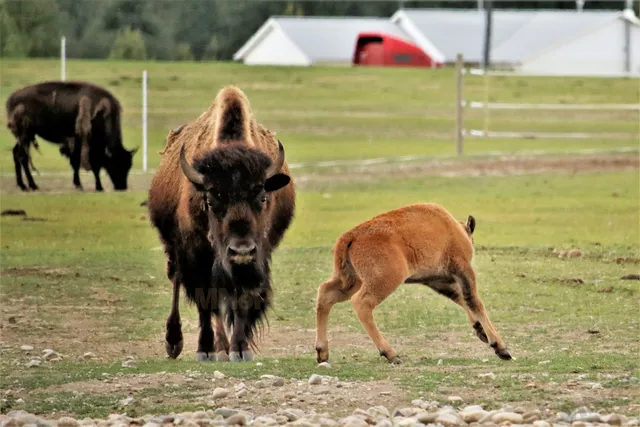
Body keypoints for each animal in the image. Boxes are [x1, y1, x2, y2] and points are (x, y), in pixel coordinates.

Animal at [5, 81, 137, 192]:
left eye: (129, 165)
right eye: (116, 163)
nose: (122, 187)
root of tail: (11, 99)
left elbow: (83, 164)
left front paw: (88, 185)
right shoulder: (83, 142)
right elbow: (84, 163)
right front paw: (87, 186)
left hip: (26, 137)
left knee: (16, 153)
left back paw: (22, 185)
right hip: (25, 135)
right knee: (23, 157)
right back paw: (32, 186)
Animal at [147, 86, 296, 361]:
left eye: (263, 197)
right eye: (210, 200)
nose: (241, 251)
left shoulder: (257, 256)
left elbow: (241, 299)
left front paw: (240, 349)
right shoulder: (197, 255)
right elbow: (206, 301)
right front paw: (205, 350)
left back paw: (224, 346)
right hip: (173, 247)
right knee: (177, 281)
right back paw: (176, 343)